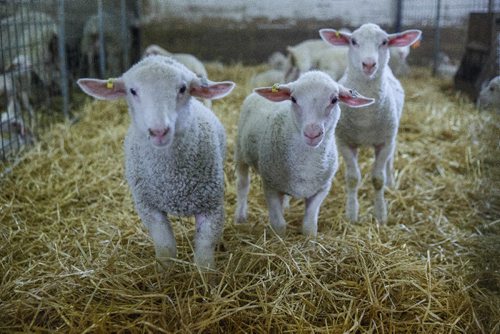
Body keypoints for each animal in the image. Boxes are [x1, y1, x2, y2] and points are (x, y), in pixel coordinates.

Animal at [76, 54, 236, 268]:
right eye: (132, 91)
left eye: (183, 88)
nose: (159, 131)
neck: (172, 181)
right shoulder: (148, 208)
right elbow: (166, 247)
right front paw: (165, 273)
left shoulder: (212, 206)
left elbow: (204, 253)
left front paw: (205, 275)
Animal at [235, 72, 376, 236]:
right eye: (293, 99)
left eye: (334, 100)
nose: (312, 133)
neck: (307, 163)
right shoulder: (270, 186)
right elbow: (279, 225)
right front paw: (279, 238)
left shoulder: (322, 189)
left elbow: (309, 226)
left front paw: (309, 239)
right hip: (240, 153)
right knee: (243, 185)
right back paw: (240, 216)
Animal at [320, 22, 422, 224]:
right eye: (353, 41)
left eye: (384, 42)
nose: (368, 64)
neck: (365, 117)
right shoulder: (344, 142)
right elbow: (352, 178)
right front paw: (351, 214)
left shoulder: (384, 142)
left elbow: (377, 179)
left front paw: (381, 215)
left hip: (392, 134)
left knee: (390, 160)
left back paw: (391, 183)